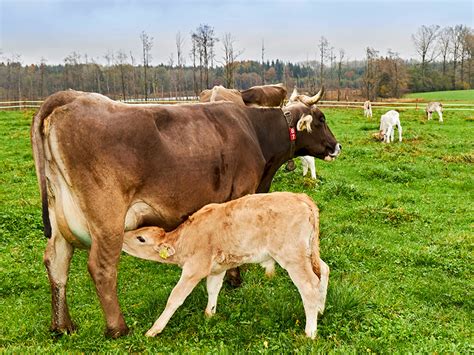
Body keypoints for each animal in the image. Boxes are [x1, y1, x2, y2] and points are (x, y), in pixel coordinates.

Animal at [122, 192, 330, 340]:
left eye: (141, 238)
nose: (122, 238)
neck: (186, 238)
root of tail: (301, 198)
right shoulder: (217, 268)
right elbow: (213, 289)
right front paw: (209, 314)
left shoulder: (194, 269)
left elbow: (175, 297)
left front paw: (154, 330)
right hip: (309, 251)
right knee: (324, 269)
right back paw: (320, 309)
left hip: (293, 256)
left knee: (309, 286)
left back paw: (310, 332)